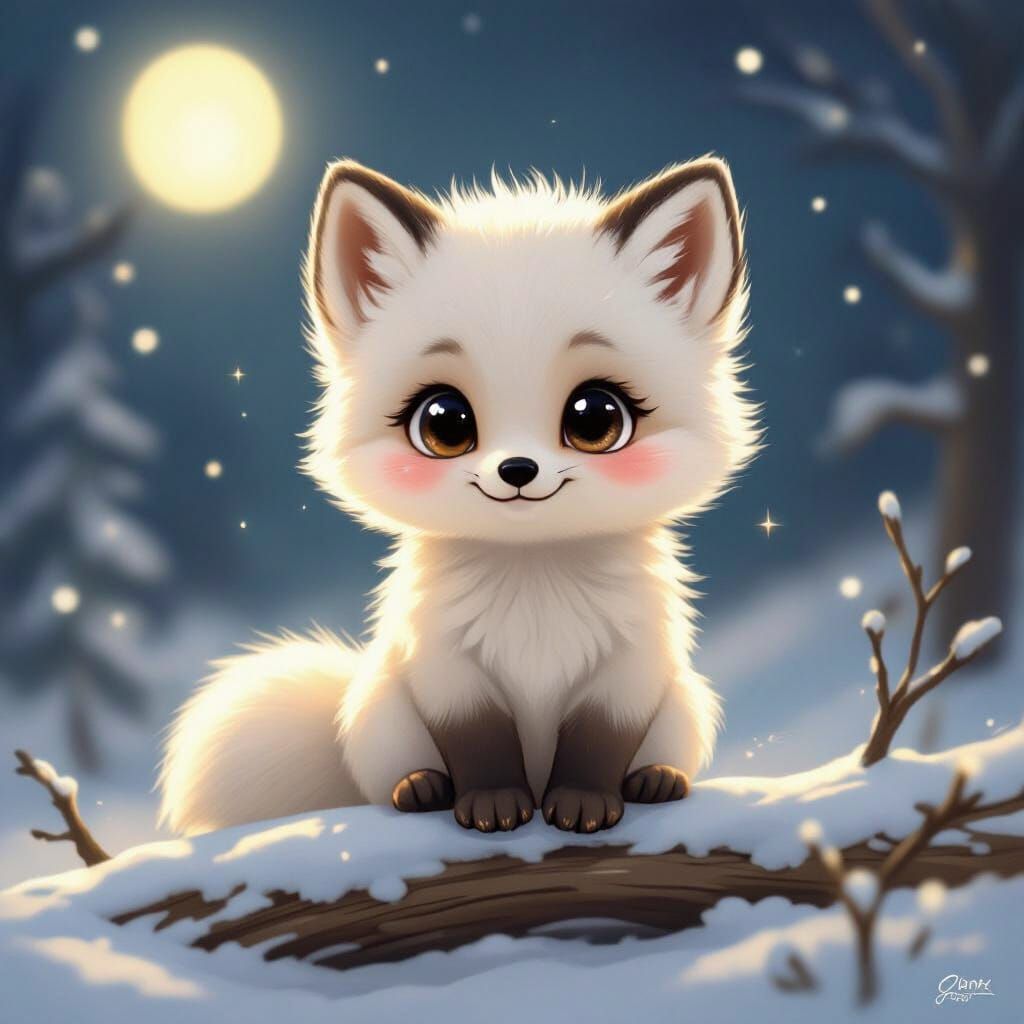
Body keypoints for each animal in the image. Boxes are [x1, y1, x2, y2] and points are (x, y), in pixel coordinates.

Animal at [159, 156, 759, 837]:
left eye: (596, 417)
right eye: (445, 422)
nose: (518, 469)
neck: (534, 584)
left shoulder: (627, 673)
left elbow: (596, 744)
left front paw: (583, 803)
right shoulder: (447, 671)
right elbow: (480, 743)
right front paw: (493, 805)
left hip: (686, 704)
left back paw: (657, 781)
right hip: (382, 710)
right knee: (390, 775)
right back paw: (419, 788)